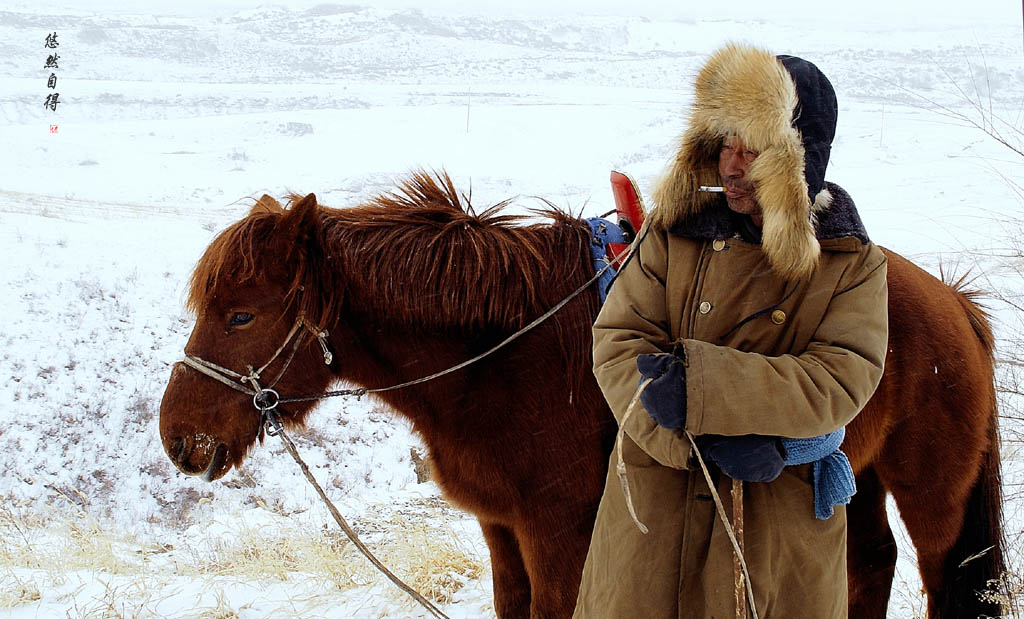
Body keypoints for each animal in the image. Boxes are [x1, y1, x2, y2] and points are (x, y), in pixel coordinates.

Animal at [155, 170, 1003, 619]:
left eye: (241, 313)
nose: (178, 438)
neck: (501, 356)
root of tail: (953, 303)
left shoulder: (560, 534)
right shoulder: (502, 529)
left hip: (932, 494)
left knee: (939, 568)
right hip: (849, 479)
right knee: (869, 563)